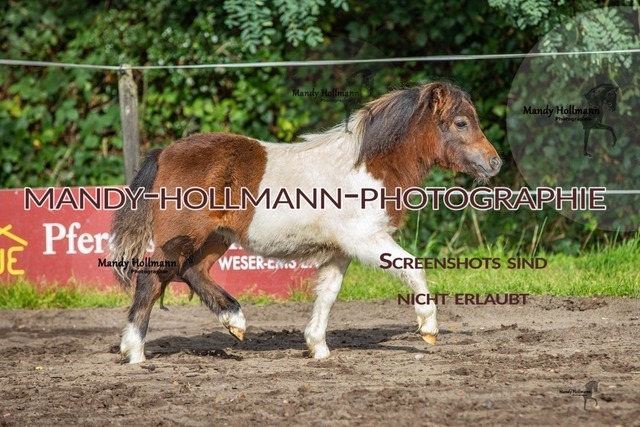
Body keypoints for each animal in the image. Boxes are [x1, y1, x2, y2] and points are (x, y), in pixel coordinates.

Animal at [109, 81, 502, 364]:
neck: (365, 167)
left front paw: (318, 348)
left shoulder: (340, 251)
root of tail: (165, 152)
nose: (495, 162)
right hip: (181, 237)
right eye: (461, 123)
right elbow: (413, 267)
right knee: (151, 280)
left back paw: (234, 321)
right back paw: (135, 352)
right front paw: (429, 327)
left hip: (216, 237)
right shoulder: (367, 240)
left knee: (192, 270)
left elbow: (327, 294)